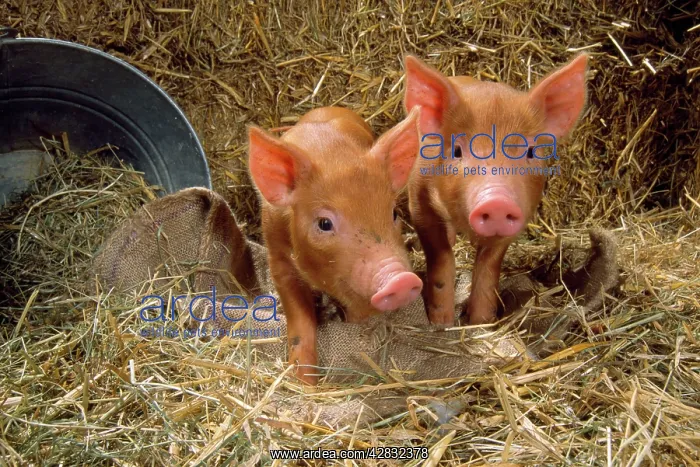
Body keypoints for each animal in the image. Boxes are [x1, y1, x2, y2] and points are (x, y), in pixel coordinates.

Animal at [247, 106, 424, 384]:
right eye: (324, 223)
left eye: (394, 213)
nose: (401, 280)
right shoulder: (277, 258)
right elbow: (299, 323)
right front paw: (306, 384)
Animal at [403, 54, 589, 325]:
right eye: (456, 150)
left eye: (530, 152)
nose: (497, 202)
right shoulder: (419, 204)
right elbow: (442, 259)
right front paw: (442, 323)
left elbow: (488, 267)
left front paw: (480, 323)